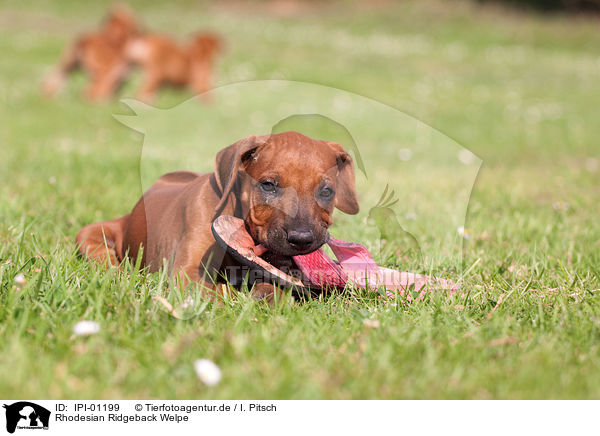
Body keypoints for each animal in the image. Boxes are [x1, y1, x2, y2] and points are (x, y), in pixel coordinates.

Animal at [74, 132, 356, 304]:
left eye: (327, 191)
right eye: (268, 185)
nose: (301, 239)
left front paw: (267, 294)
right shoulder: (187, 272)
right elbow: (222, 291)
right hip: (93, 234)